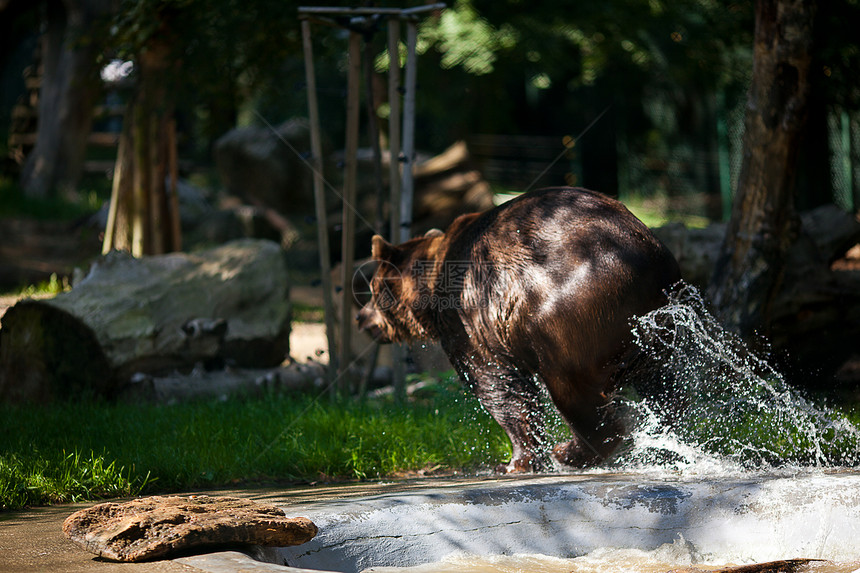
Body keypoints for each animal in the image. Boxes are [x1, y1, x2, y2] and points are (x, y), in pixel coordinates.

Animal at [356, 188, 680, 474]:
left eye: (371, 290)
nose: (361, 318)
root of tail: (643, 265)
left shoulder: (471, 321)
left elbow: (499, 386)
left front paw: (516, 461)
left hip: (565, 313)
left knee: (572, 389)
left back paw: (570, 451)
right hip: (661, 326)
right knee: (666, 386)